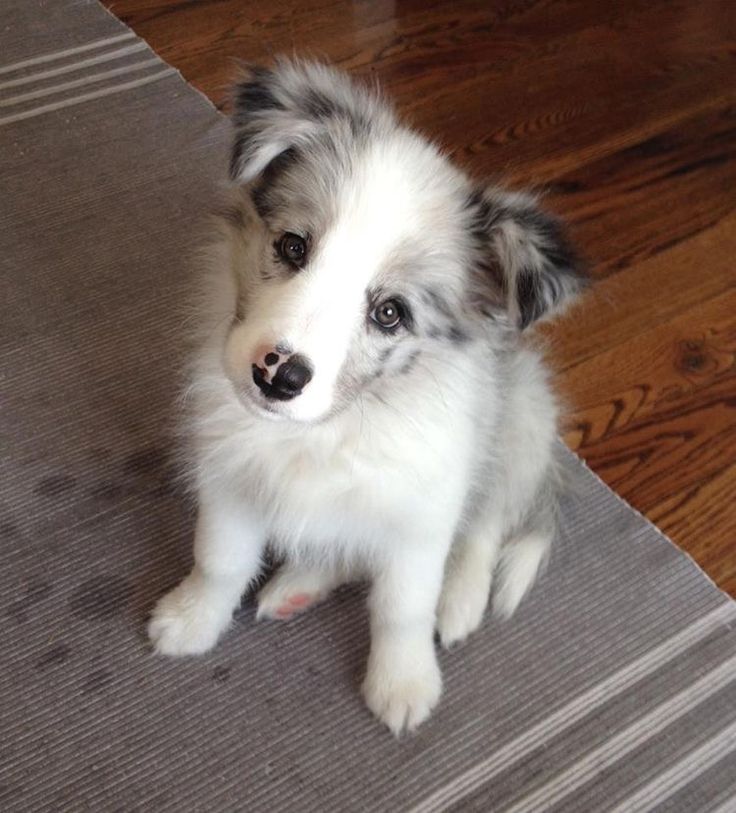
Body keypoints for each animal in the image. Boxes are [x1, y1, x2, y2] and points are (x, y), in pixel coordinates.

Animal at [148, 60, 588, 732]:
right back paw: (296, 586)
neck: (331, 428)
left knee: (487, 520)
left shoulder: (422, 509)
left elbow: (402, 606)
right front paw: (192, 619)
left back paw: (459, 602)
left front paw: (403, 683)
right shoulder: (231, 478)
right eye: (293, 247)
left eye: (389, 313)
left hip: (520, 421)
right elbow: (220, 559)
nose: (278, 376)